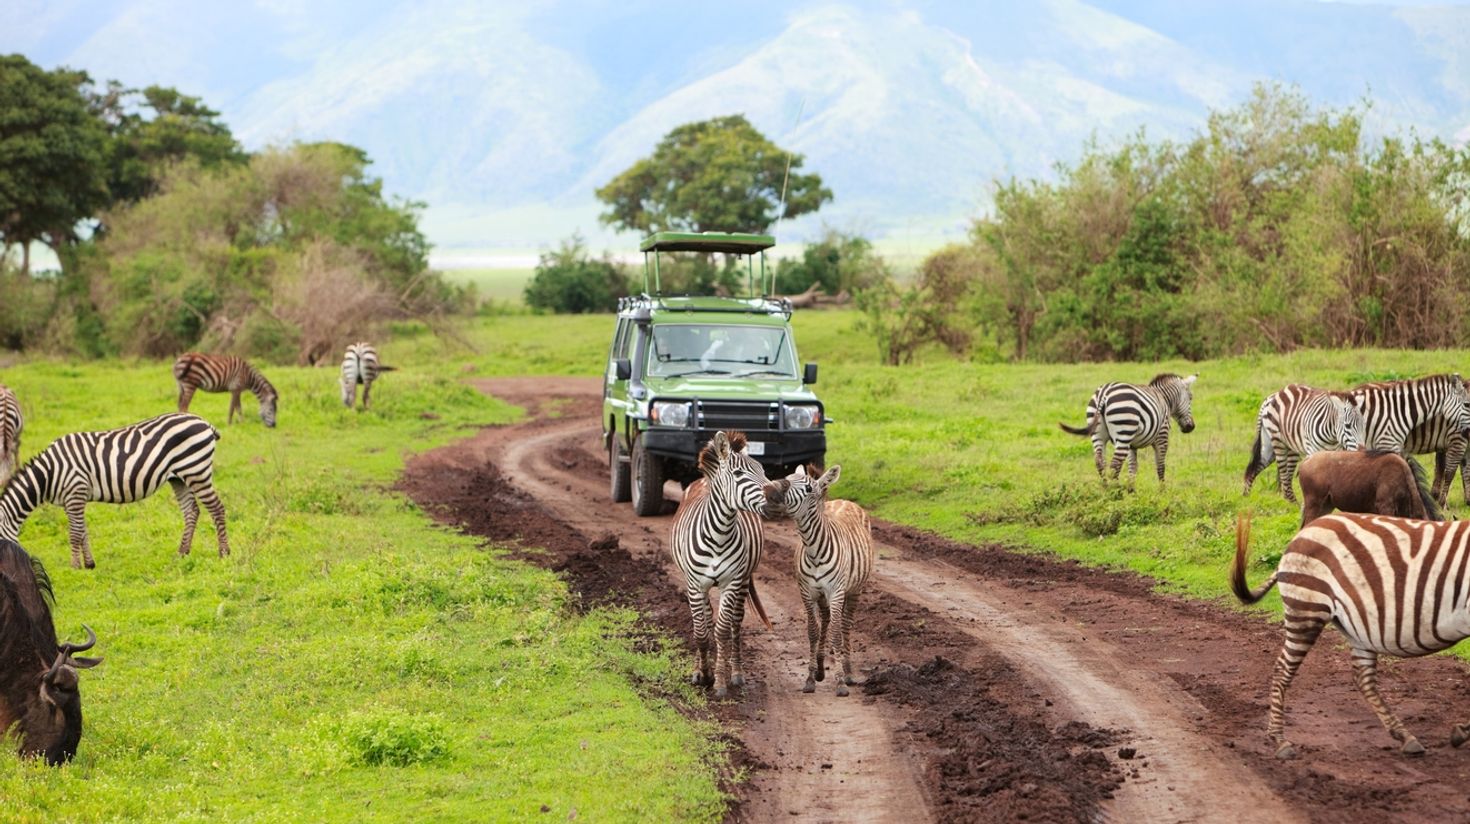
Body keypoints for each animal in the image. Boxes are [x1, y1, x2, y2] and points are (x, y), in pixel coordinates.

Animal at [0, 413, 229, 569]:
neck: (50, 472)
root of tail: (203, 422)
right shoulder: (72, 499)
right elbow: (82, 530)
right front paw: (89, 564)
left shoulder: (75, 492)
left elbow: (74, 533)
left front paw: (75, 566)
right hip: (179, 477)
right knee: (191, 511)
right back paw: (182, 553)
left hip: (196, 470)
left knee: (216, 508)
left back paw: (224, 553)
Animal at [670, 431, 778, 699]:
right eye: (738, 474)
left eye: (762, 470)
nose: (776, 497)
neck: (719, 534)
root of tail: (703, 480)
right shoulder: (694, 584)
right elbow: (701, 631)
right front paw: (703, 673)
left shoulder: (732, 582)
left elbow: (721, 631)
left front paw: (719, 681)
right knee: (707, 620)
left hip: (743, 580)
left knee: (734, 624)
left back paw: (736, 673)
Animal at [775, 464, 874, 697]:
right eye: (787, 478)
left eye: (809, 488)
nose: (774, 491)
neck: (814, 550)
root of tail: (845, 501)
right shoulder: (807, 592)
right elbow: (813, 631)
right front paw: (810, 678)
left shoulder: (836, 591)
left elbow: (836, 634)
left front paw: (840, 682)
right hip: (823, 596)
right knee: (827, 620)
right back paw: (821, 669)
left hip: (854, 590)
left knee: (844, 625)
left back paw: (848, 672)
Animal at [1059, 374, 1197, 487]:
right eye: (1191, 398)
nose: (1191, 427)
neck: (1164, 398)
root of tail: (1104, 393)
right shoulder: (1162, 436)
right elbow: (1160, 465)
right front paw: (1162, 491)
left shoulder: (1132, 444)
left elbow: (1133, 468)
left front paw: (1132, 491)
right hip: (1123, 433)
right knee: (1115, 465)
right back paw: (1116, 493)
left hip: (1098, 433)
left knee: (1100, 462)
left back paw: (1105, 489)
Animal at [1233, 513, 1470, 759]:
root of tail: (1305, 530)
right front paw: (1462, 732)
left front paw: (1461, 732)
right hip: (1307, 609)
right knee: (1282, 669)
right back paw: (1280, 741)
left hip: (1358, 628)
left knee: (1362, 677)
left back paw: (1405, 737)